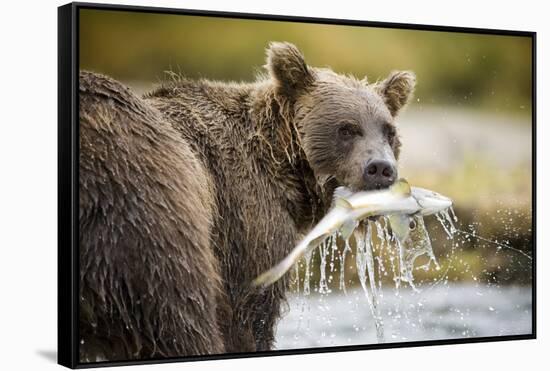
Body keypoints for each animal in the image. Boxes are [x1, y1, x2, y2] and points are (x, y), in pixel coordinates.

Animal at [78, 42, 418, 362]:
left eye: (389, 132)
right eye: (347, 129)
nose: (380, 169)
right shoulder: (245, 220)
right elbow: (250, 313)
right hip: (147, 211)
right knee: (178, 317)